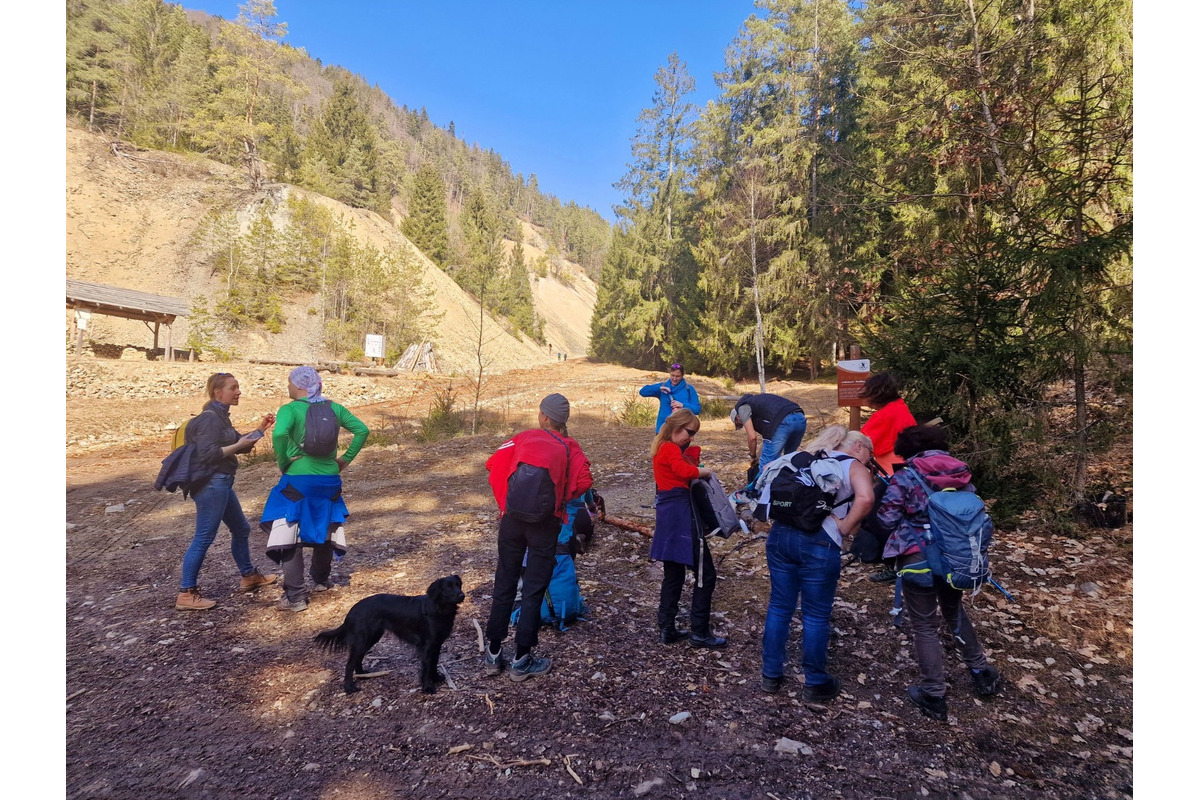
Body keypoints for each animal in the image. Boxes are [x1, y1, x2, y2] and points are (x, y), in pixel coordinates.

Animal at [314, 575, 463, 695]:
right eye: (448, 587)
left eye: (458, 585)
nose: (462, 595)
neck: (439, 608)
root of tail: (352, 610)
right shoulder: (427, 646)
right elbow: (427, 667)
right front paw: (427, 687)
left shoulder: (437, 644)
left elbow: (434, 663)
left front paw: (436, 678)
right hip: (363, 639)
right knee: (349, 663)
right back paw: (349, 687)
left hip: (371, 638)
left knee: (358, 658)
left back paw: (363, 674)